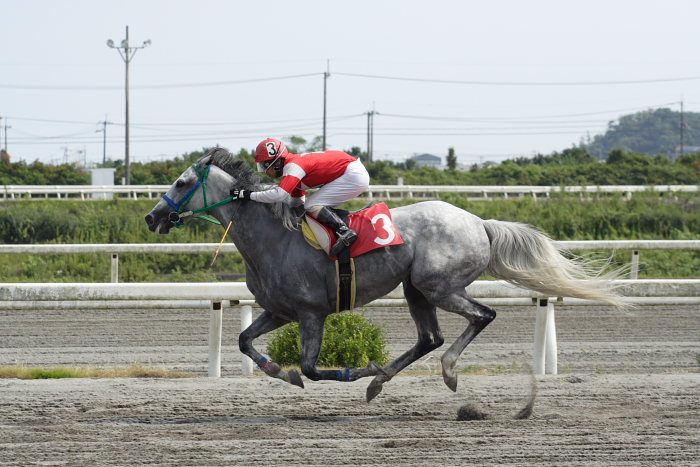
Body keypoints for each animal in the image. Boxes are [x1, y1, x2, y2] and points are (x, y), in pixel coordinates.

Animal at [145, 149, 620, 402]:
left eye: (183, 181)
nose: (152, 217)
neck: (273, 238)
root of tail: (479, 222)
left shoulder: (311, 313)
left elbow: (312, 367)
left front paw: (352, 372)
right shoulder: (279, 311)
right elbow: (245, 342)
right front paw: (283, 373)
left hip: (438, 285)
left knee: (480, 317)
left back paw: (443, 373)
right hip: (415, 289)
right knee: (430, 337)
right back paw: (381, 382)